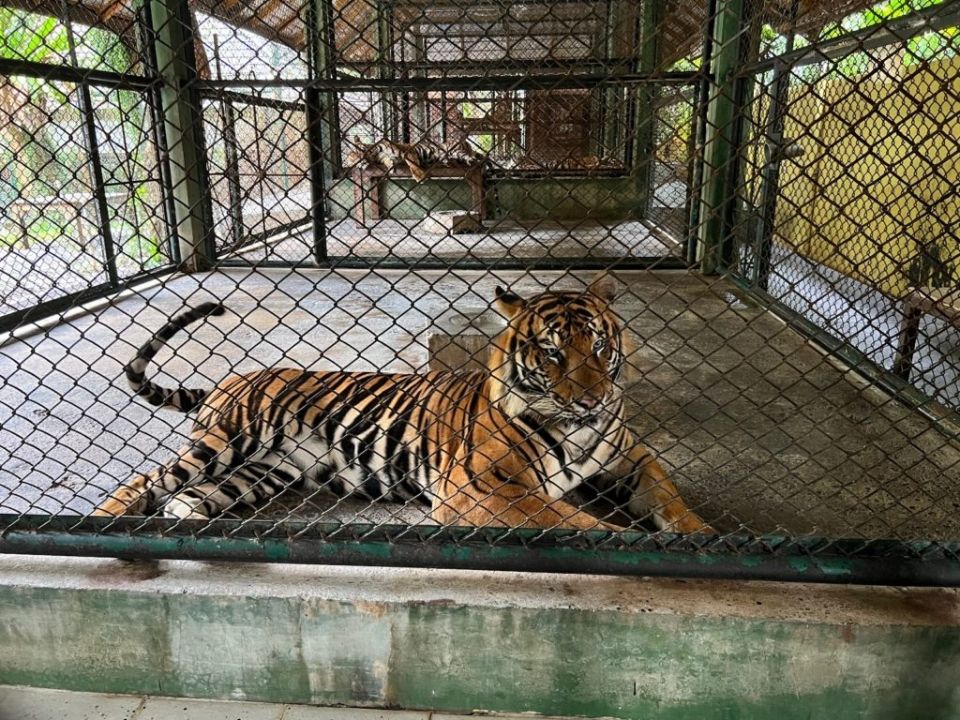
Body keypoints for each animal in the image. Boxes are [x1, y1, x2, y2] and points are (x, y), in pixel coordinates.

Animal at [93, 274, 711, 534]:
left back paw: (189, 521)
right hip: (225, 441)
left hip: (265, 472)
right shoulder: (485, 490)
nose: (590, 399)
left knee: (187, 498)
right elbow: (579, 523)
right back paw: (102, 523)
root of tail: (229, 378)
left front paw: (702, 536)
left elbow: (671, 498)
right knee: (148, 481)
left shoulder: (630, 460)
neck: (579, 428)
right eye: (554, 353)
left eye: (599, 347)